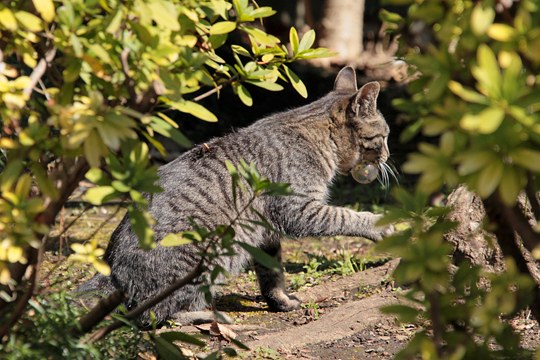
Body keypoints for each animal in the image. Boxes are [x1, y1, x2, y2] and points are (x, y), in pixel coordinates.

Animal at [80, 66, 392, 324]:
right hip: (210, 254)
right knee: (153, 314)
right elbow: (346, 215)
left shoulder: (267, 232)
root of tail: (112, 271)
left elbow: (272, 273)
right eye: (386, 136)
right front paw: (379, 225)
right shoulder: (299, 210)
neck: (319, 138)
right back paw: (205, 316)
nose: (389, 154)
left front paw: (280, 301)